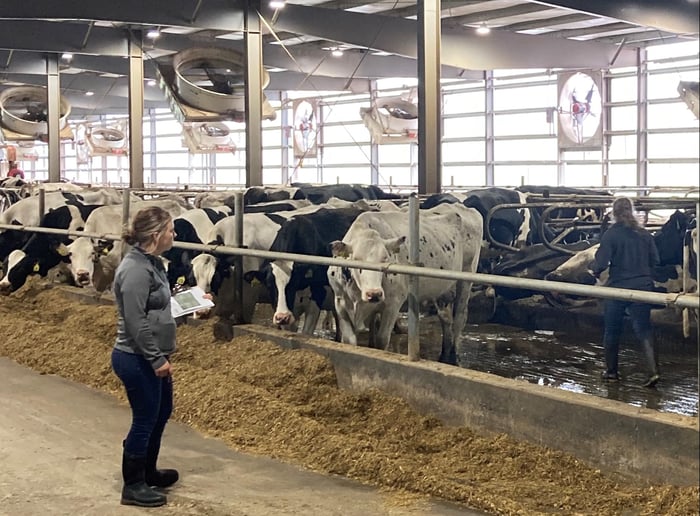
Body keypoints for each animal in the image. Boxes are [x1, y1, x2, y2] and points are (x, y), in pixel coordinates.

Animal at [326, 204, 482, 364]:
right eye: (356, 259)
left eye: (385, 258)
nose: (374, 294)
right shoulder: (340, 304)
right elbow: (349, 341)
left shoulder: (393, 304)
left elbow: (382, 340)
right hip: (443, 290)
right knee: (446, 318)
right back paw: (444, 355)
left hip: (466, 277)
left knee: (459, 318)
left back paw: (454, 357)